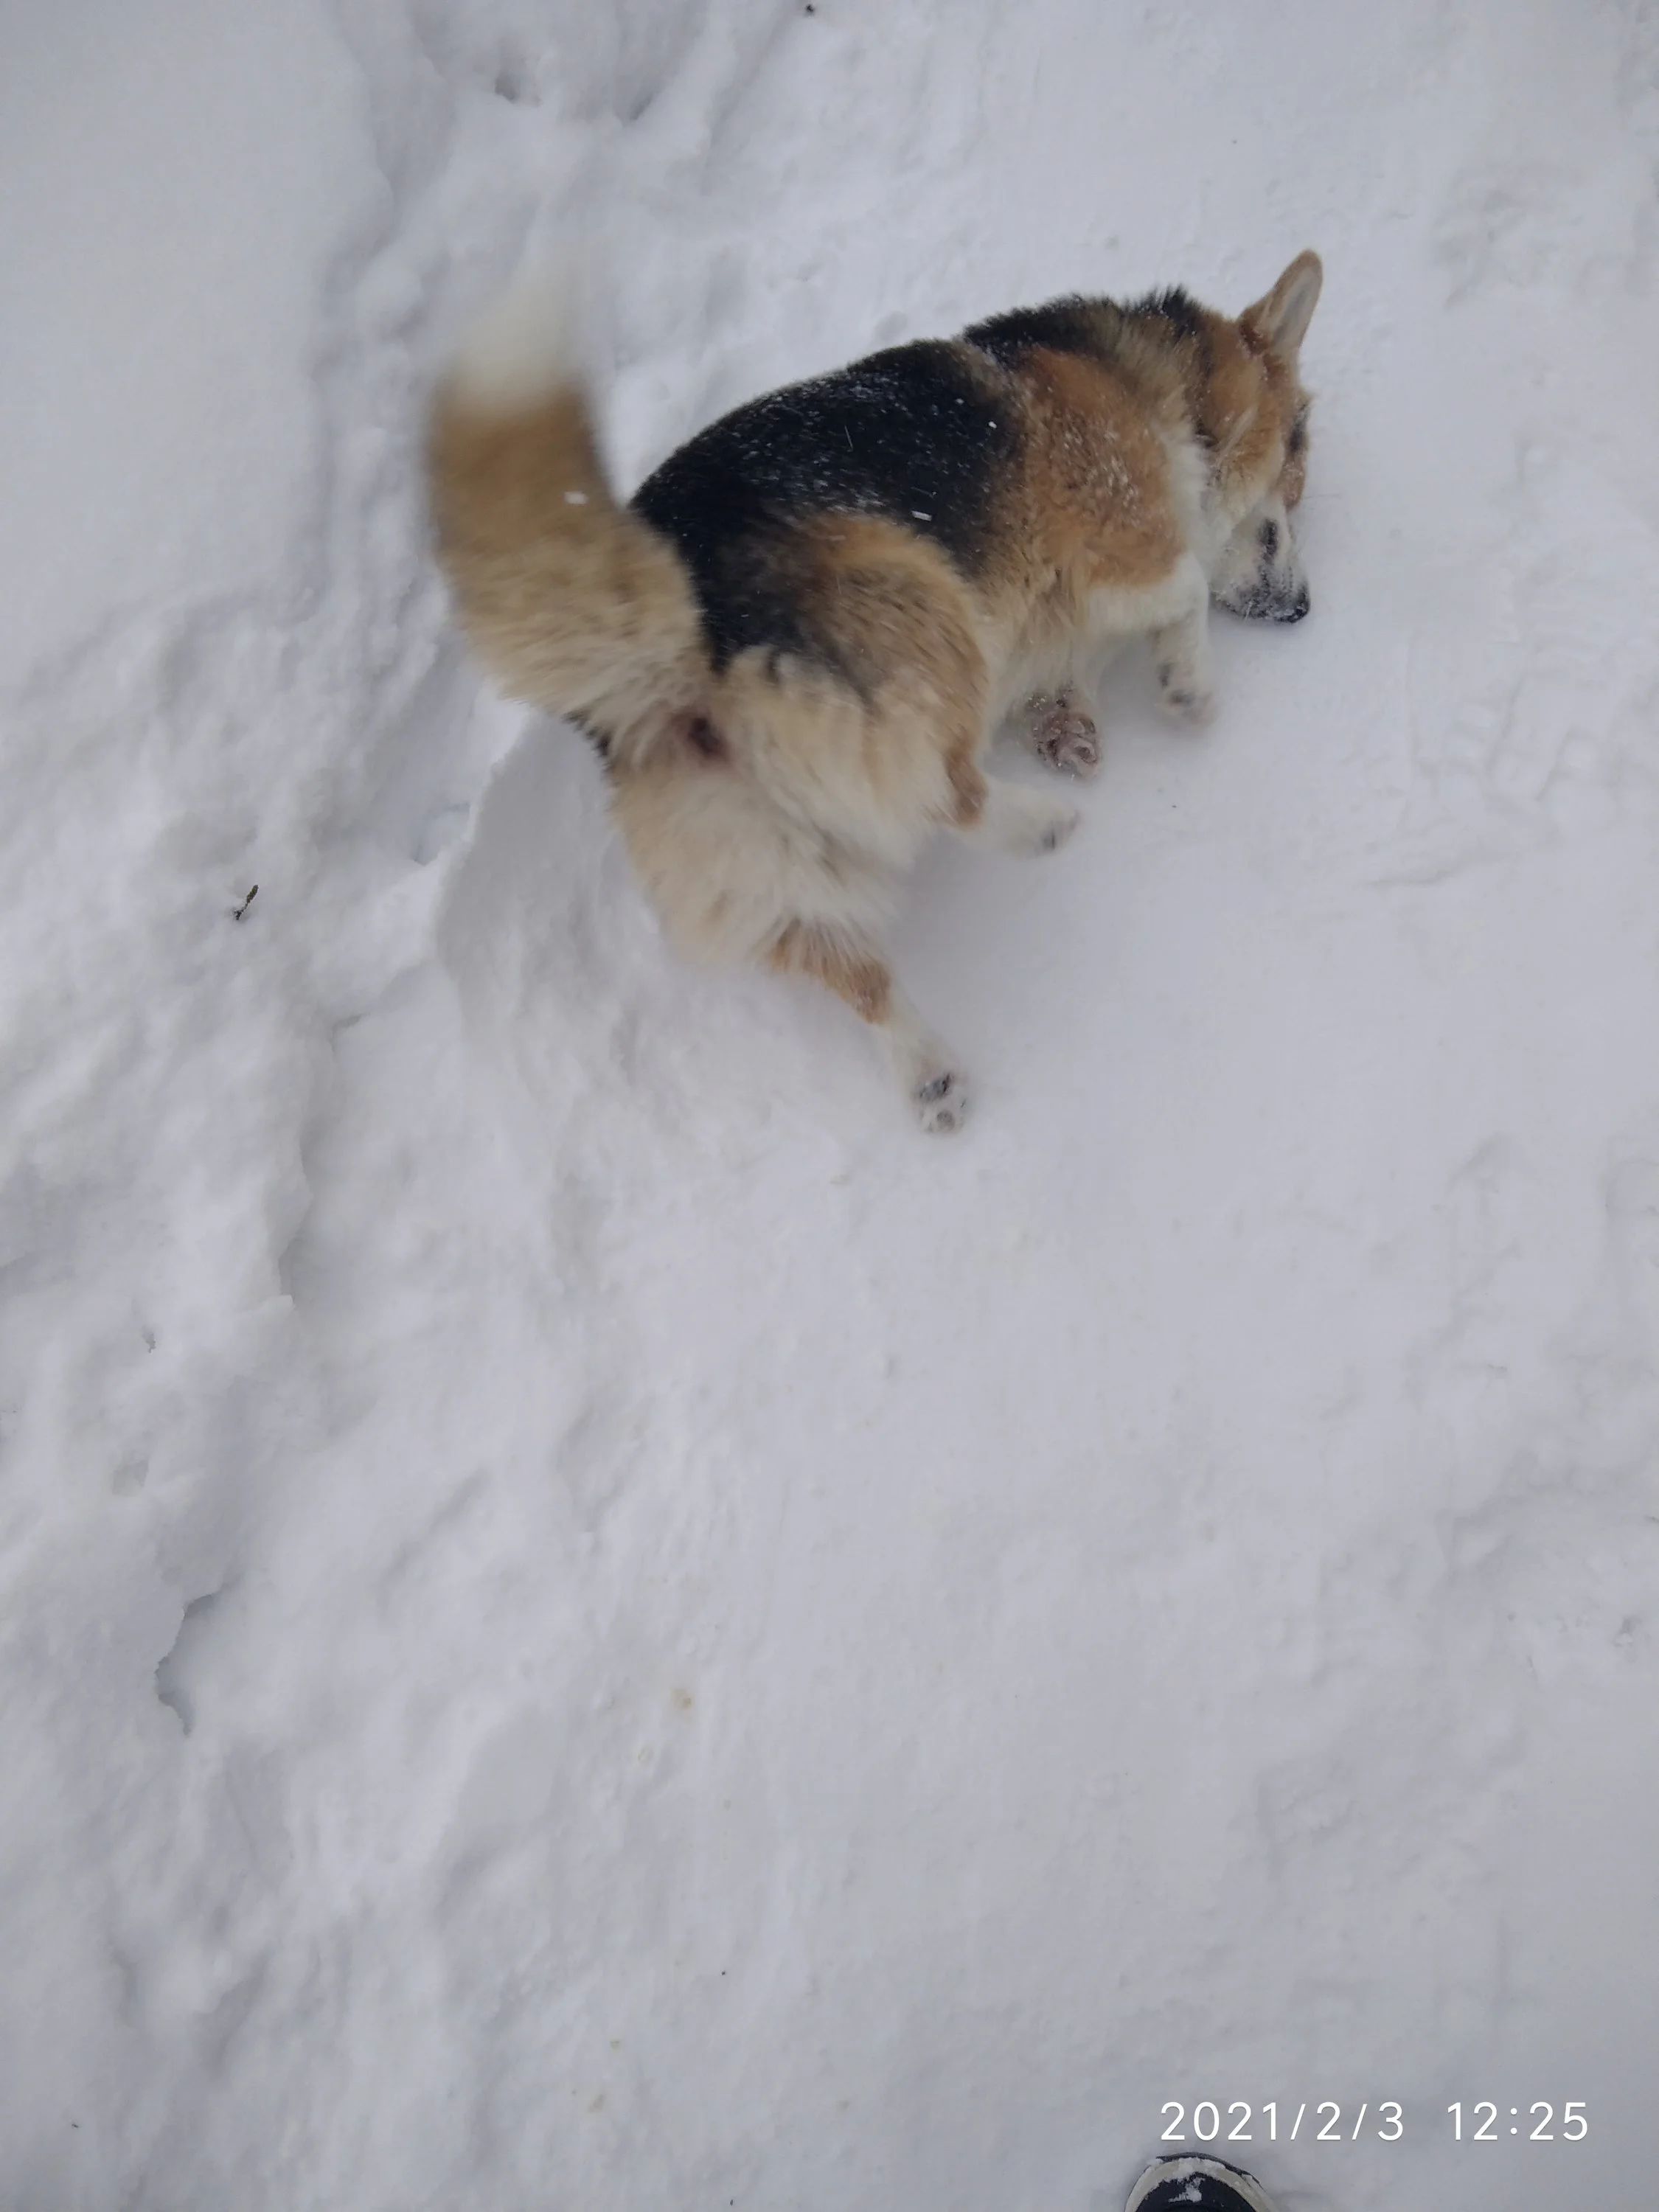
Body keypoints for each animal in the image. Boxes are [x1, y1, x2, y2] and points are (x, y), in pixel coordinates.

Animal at [427, 250, 1321, 1131]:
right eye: (1299, 458)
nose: (1304, 612)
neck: (1157, 389)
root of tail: (669, 656)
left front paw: (1073, 724)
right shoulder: (1121, 534)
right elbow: (1187, 587)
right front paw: (1188, 685)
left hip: (754, 858)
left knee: (859, 976)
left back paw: (929, 1076)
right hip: (927, 609)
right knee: (941, 788)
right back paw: (1041, 825)